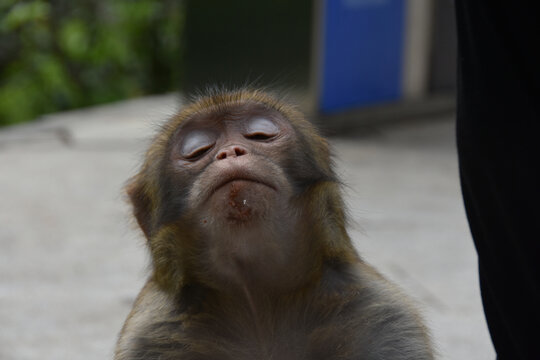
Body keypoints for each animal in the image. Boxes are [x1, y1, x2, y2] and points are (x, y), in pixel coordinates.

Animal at [114, 88, 434, 360]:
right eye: (198, 150)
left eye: (259, 134)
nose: (230, 151)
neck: (259, 297)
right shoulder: (151, 334)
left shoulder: (381, 314)